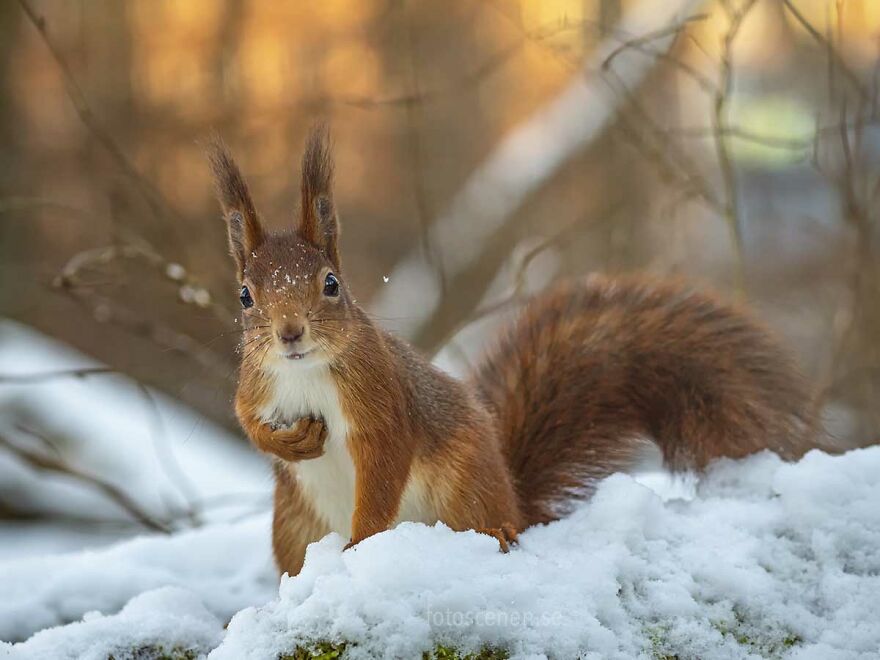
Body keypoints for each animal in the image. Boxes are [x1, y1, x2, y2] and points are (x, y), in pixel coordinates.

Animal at [208, 126, 817, 576]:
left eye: (332, 284)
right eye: (245, 295)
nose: (289, 334)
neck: (304, 371)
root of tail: (514, 501)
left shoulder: (380, 397)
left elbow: (383, 469)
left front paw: (361, 547)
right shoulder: (256, 383)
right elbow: (247, 420)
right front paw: (290, 442)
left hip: (465, 486)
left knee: (488, 521)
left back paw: (499, 535)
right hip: (293, 526)